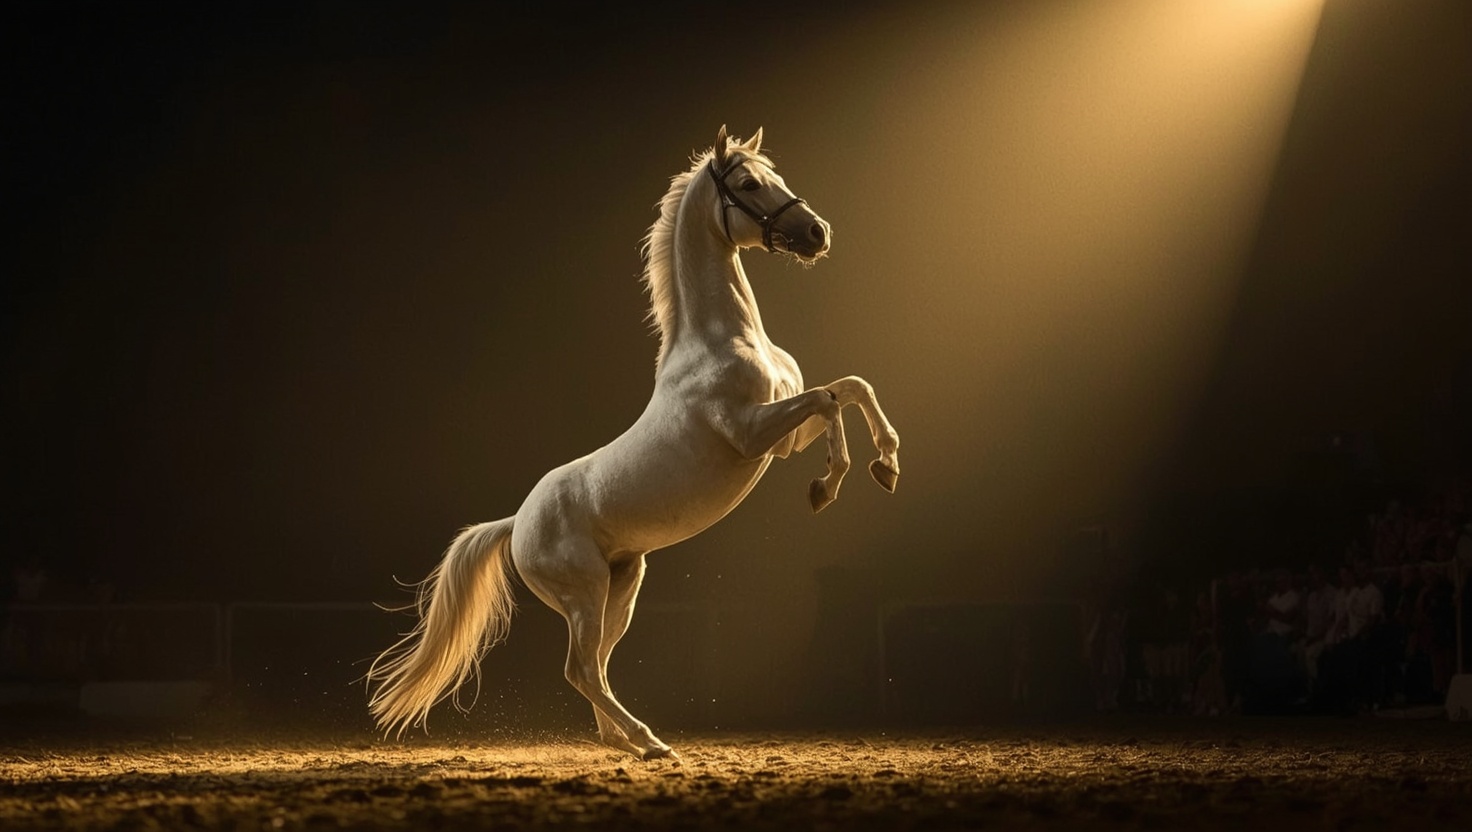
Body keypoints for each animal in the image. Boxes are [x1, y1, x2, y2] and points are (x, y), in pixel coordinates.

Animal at [367, 126, 900, 760]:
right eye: (748, 184)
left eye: (776, 176)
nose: (817, 233)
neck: (720, 341)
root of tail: (516, 523)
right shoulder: (751, 436)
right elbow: (828, 399)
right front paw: (828, 486)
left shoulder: (785, 438)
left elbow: (851, 388)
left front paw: (887, 464)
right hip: (585, 592)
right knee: (580, 669)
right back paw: (648, 742)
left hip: (622, 586)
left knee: (596, 665)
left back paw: (620, 741)